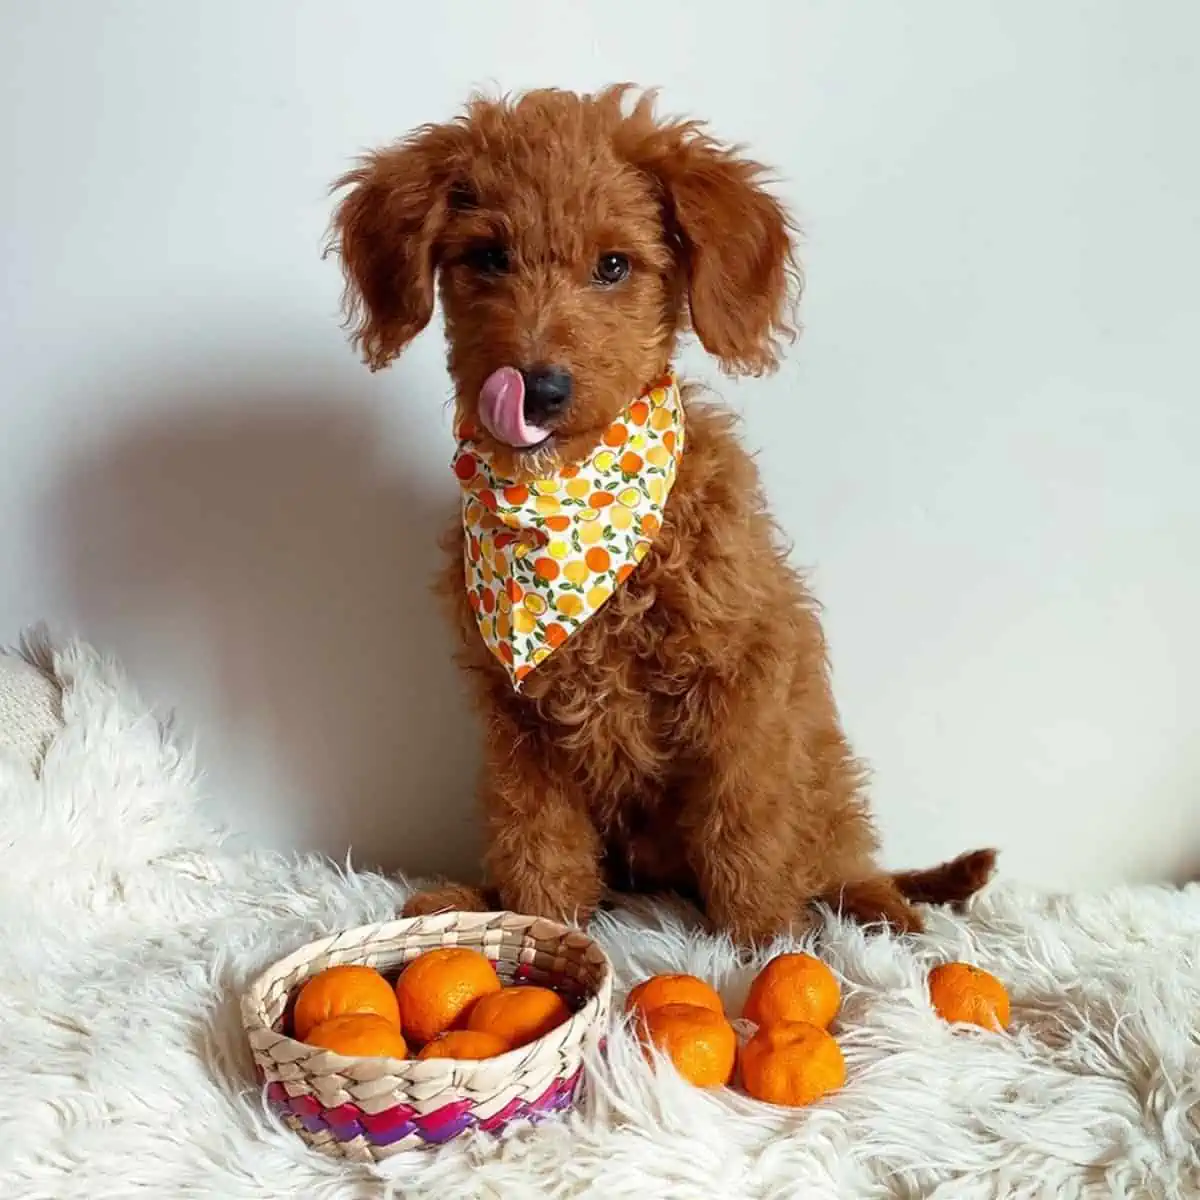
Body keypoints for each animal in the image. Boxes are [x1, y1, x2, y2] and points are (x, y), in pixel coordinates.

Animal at [331, 87, 993, 945]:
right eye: (489, 257)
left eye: (614, 265)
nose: (537, 388)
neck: (568, 507)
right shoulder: (519, 724)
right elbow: (538, 843)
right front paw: (536, 928)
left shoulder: (743, 683)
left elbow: (745, 826)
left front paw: (764, 945)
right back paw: (462, 897)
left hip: (821, 768)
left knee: (838, 850)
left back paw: (881, 910)